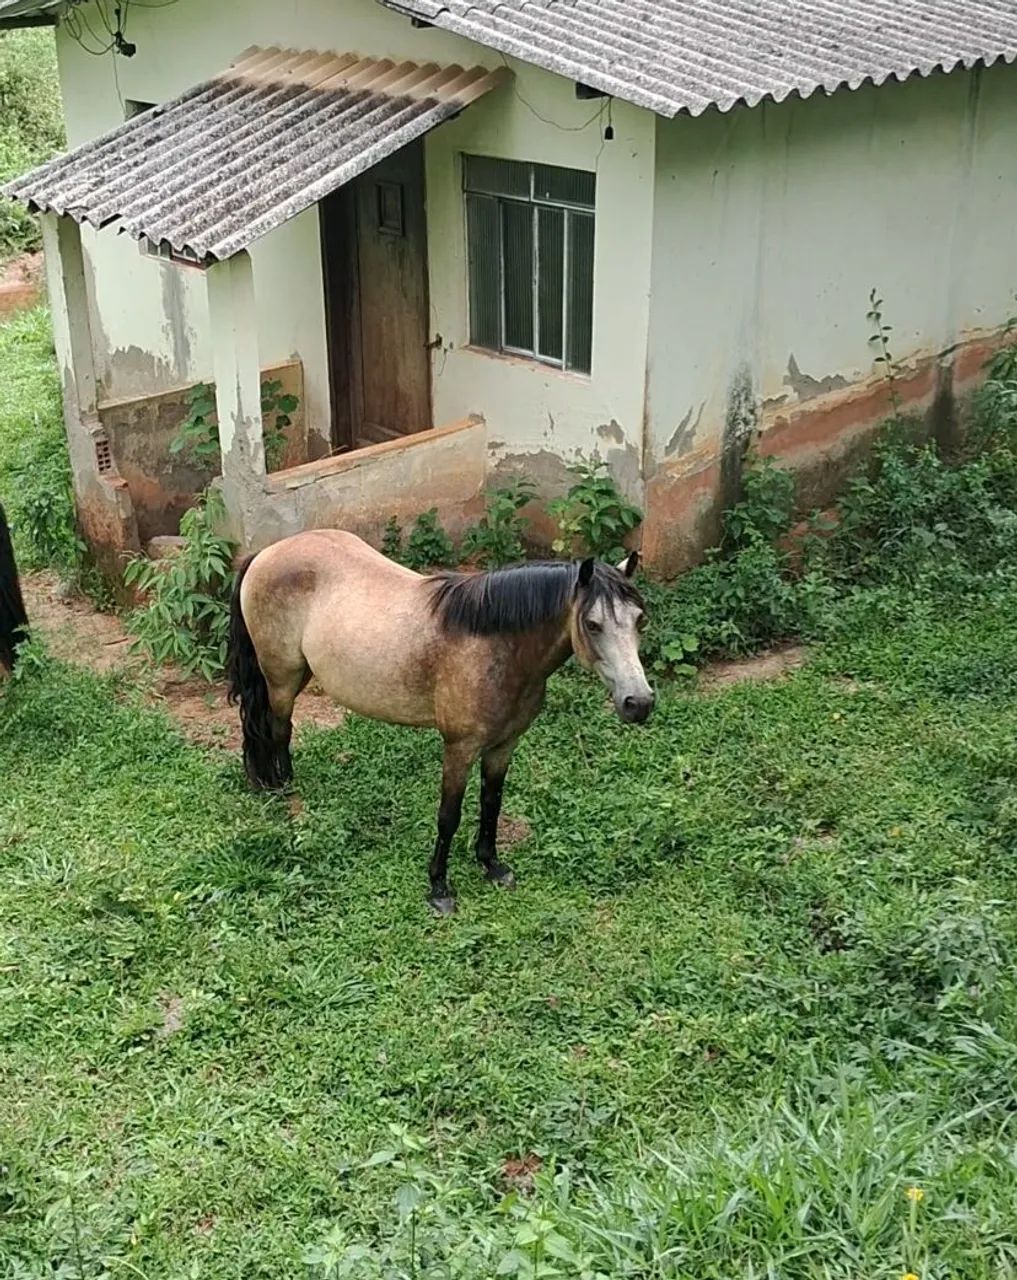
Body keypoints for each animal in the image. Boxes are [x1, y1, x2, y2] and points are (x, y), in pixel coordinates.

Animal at [226, 530, 654, 914]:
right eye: (593, 624)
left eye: (639, 620)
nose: (640, 703)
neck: (494, 644)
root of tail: (266, 553)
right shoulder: (460, 748)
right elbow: (449, 816)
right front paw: (439, 888)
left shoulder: (504, 744)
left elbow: (491, 802)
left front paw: (491, 865)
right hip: (282, 677)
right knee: (279, 730)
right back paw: (286, 794)